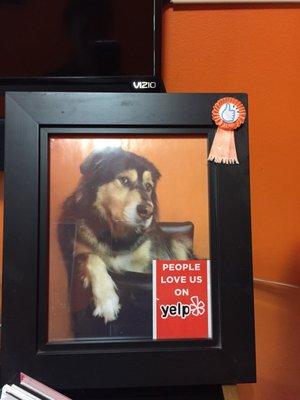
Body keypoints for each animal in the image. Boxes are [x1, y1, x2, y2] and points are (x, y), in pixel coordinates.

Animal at [58, 148, 193, 324]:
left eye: (148, 186)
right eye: (124, 180)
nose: (148, 211)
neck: (117, 238)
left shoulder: (145, 265)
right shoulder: (77, 250)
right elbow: (91, 257)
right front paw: (107, 300)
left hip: (178, 243)